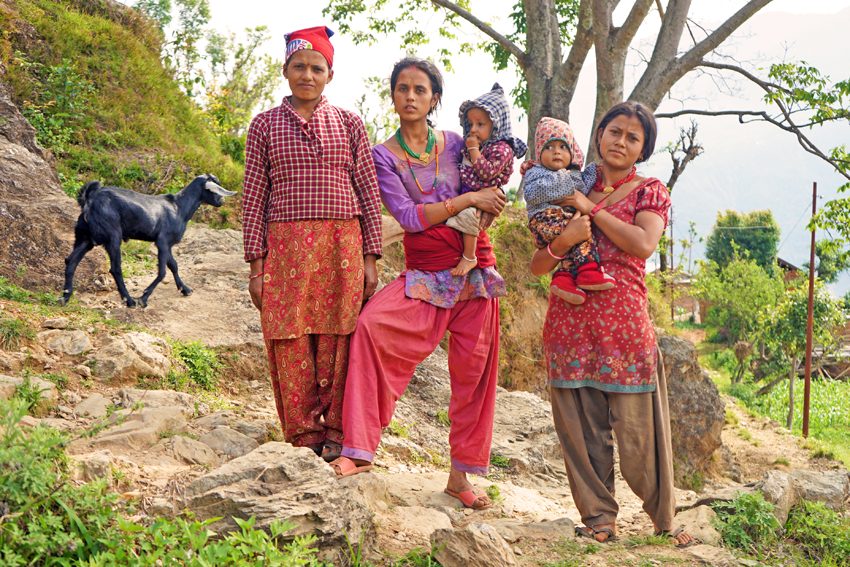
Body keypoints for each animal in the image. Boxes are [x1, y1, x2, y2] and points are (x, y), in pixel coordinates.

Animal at [60, 175, 235, 308]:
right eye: (215, 187)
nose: (221, 202)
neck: (179, 208)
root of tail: (89, 200)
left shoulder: (166, 243)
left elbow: (173, 265)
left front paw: (185, 289)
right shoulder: (163, 241)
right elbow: (163, 271)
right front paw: (143, 298)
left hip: (85, 237)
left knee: (71, 260)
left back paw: (65, 296)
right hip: (112, 236)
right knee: (115, 269)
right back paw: (129, 301)